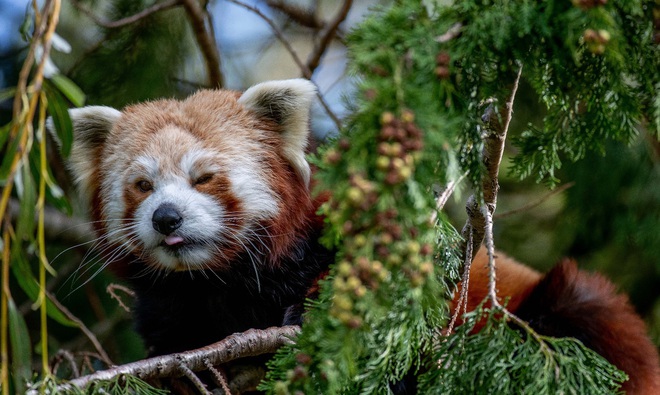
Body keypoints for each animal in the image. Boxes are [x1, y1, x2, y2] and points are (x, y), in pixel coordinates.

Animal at [49, 79, 660, 392]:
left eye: (204, 177)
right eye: (142, 185)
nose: (167, 218)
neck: (223, 285)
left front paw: (309, 309)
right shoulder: (172, 308)